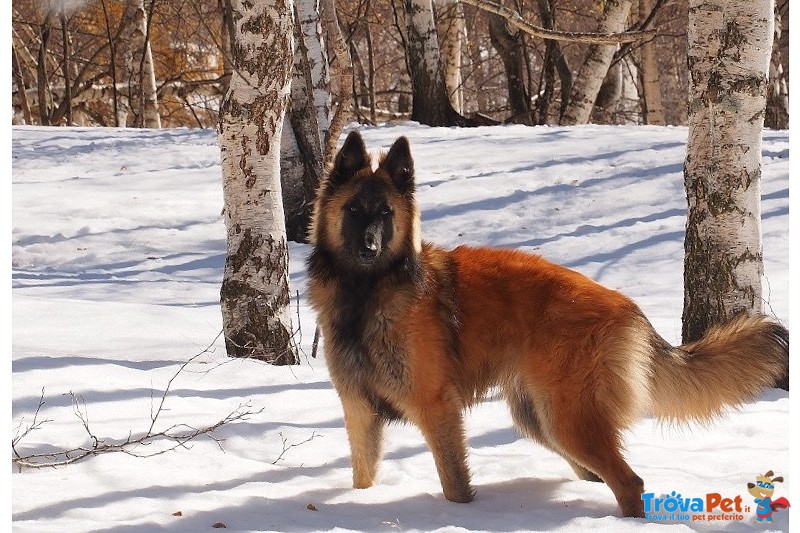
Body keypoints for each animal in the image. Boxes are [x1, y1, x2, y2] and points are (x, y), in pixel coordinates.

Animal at [306, 131, 788, 516]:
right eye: (354, 210)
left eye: (386, 214)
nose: (369, 248)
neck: (368, 294)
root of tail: (627, 306)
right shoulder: (359, 411)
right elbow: (363, 477)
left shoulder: (436, 407)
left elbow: (455, 485)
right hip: (543, 418)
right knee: (602, 474)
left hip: (565, 419)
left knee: (630, 482)